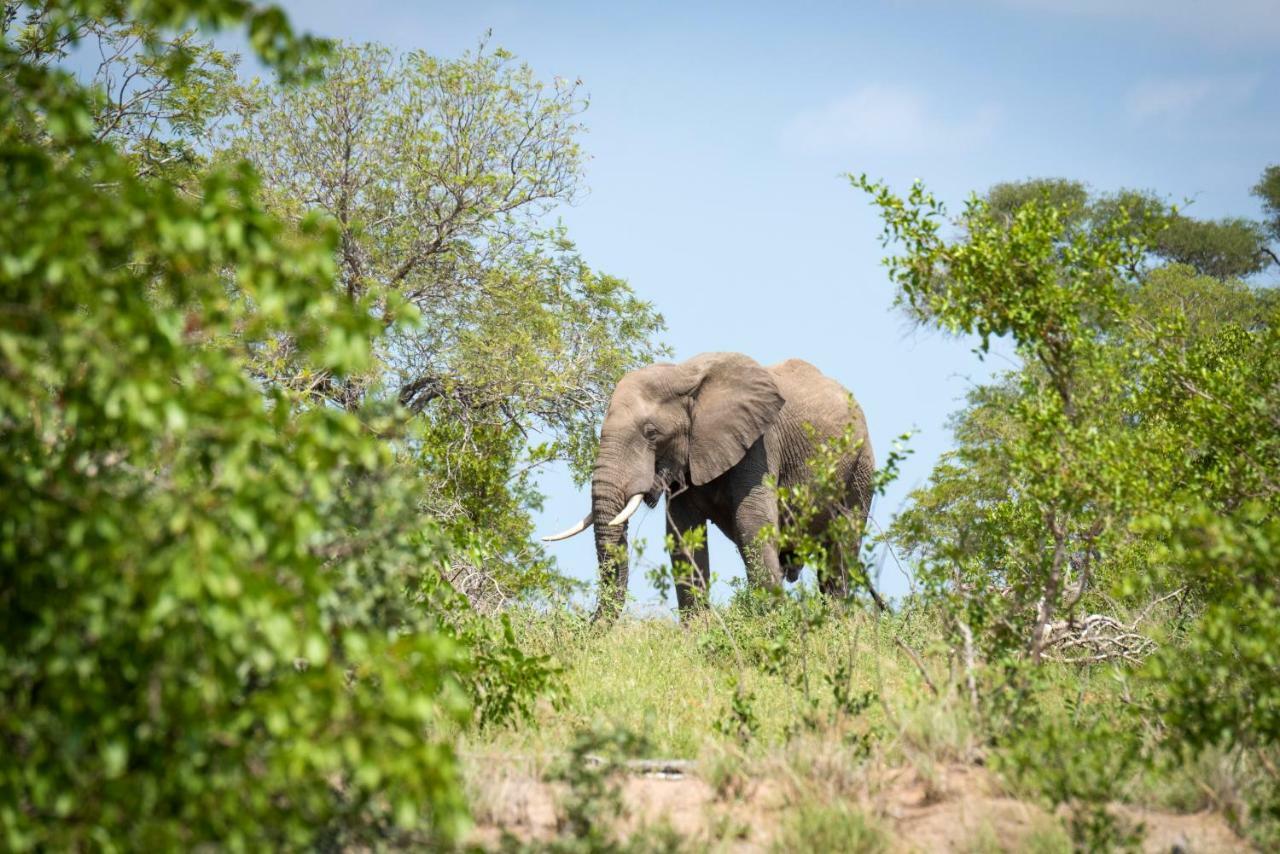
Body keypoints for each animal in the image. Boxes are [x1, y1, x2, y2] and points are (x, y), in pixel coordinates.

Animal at [540, 350, 880, 624]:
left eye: (651, 433)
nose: (586, 628)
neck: (684, 377)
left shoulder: (759, 443)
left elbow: (752, 523)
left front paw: (771, 627)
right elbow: (682, 534)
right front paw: (697, 633)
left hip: (860, 468)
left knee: (841, 549)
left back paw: (837, 625)